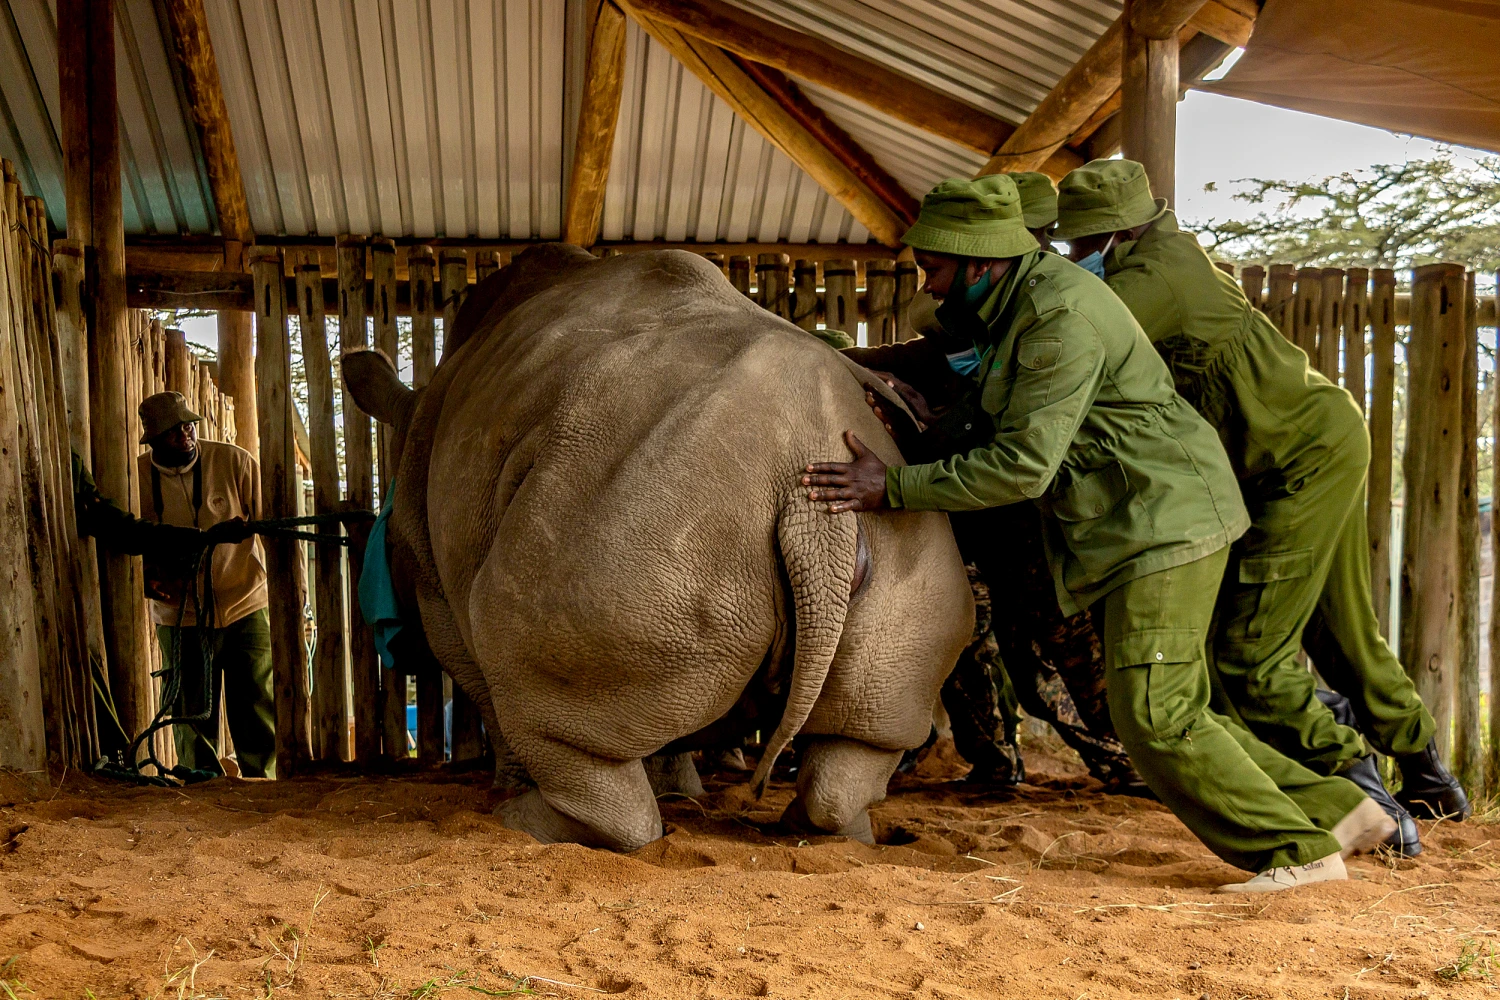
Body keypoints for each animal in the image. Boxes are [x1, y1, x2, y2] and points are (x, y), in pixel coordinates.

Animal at [342, 245, 972, 851]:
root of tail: (811, 493)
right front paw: (681, 792)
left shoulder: (433, 583)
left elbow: (482, 686)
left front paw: (508, 785)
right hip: (856, 524)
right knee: (868, 728)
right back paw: (838, 835)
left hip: (640, 526)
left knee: (528, 671)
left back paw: (518, 823)